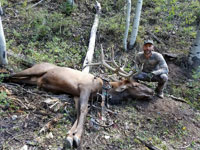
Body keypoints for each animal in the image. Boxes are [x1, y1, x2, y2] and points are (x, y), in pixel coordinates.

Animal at [5, 47, 153, 148]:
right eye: (136, 85)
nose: (151, 92)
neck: (101, 90)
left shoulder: (76, 95)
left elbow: (78, 112)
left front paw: (70, 136)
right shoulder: (84, 88)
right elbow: (84, 110)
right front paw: (76, 137)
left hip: (34, 80)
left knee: (16, 78)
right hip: (35, 70)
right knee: (11, 74)